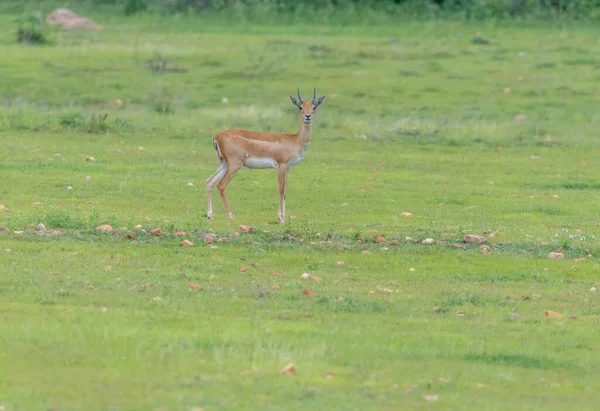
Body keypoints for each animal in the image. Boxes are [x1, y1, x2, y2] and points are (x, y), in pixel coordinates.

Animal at [207, 88, 328, 224]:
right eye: (300, 107)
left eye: (314, 107)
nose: (308, 116)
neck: (295, 140)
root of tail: (217, 137)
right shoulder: (281, 165)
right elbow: (281, 188)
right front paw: (281, 218)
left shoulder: (288, 167)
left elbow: (286, 190)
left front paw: (283, 217)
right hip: (234, 165)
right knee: (221, 185)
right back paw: (231, 216)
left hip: (224, 164)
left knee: (209, 181)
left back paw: (210, 215)